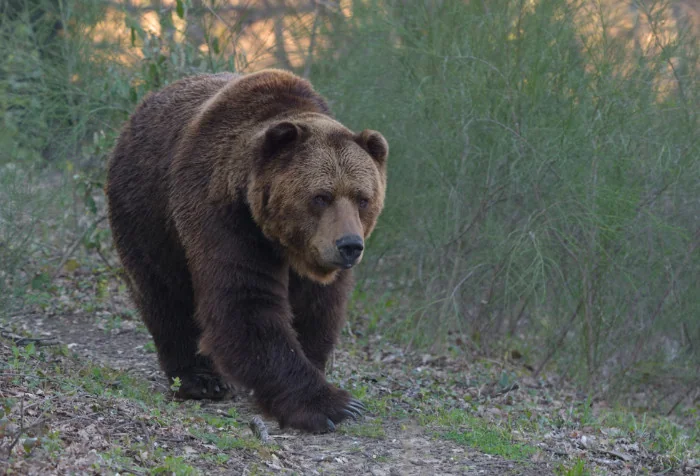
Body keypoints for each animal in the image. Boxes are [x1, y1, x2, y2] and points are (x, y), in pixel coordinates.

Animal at [106, 69, 388, 434]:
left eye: (362, 198)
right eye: (321, 196)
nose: (350, 245)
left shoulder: (316, 257)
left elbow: (317, 308)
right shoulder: (224, 219)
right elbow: (246, 304)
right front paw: (332, 405)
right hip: (147, 215)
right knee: (164, 294)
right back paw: (200, 379)